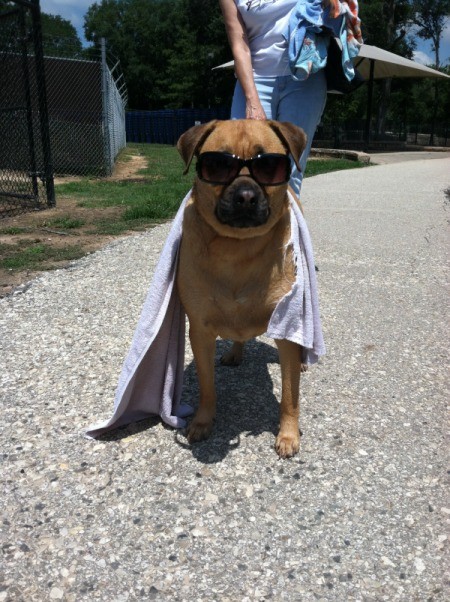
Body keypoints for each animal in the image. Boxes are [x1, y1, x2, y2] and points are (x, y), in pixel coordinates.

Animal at [178, 117, 308, 454]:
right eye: (218, 165)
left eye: (269, 166)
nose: (247, 196)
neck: (237, 247)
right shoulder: (200, 330)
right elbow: (207, 386)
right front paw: (202, 421)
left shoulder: (285, 327)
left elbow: (290, 395)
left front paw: (288, 433)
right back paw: (236, 353)